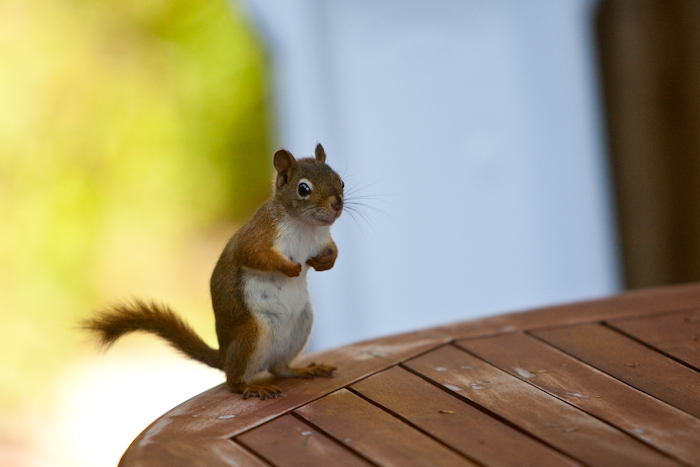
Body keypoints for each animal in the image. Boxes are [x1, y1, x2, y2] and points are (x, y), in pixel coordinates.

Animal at [82, 143, 343, 400]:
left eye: (340, 180)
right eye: (303, 188)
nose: (337, 204)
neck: (306, 227)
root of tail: (224, 356)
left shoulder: (323, 241)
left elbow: (333, 251)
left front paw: (323, 263)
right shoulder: (259, 234)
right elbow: (253, 255)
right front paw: (290, 268)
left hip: (300, 327)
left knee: (279, 368)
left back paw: (304, 370)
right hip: (251, 334)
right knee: (232, 381)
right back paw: (252, 388)